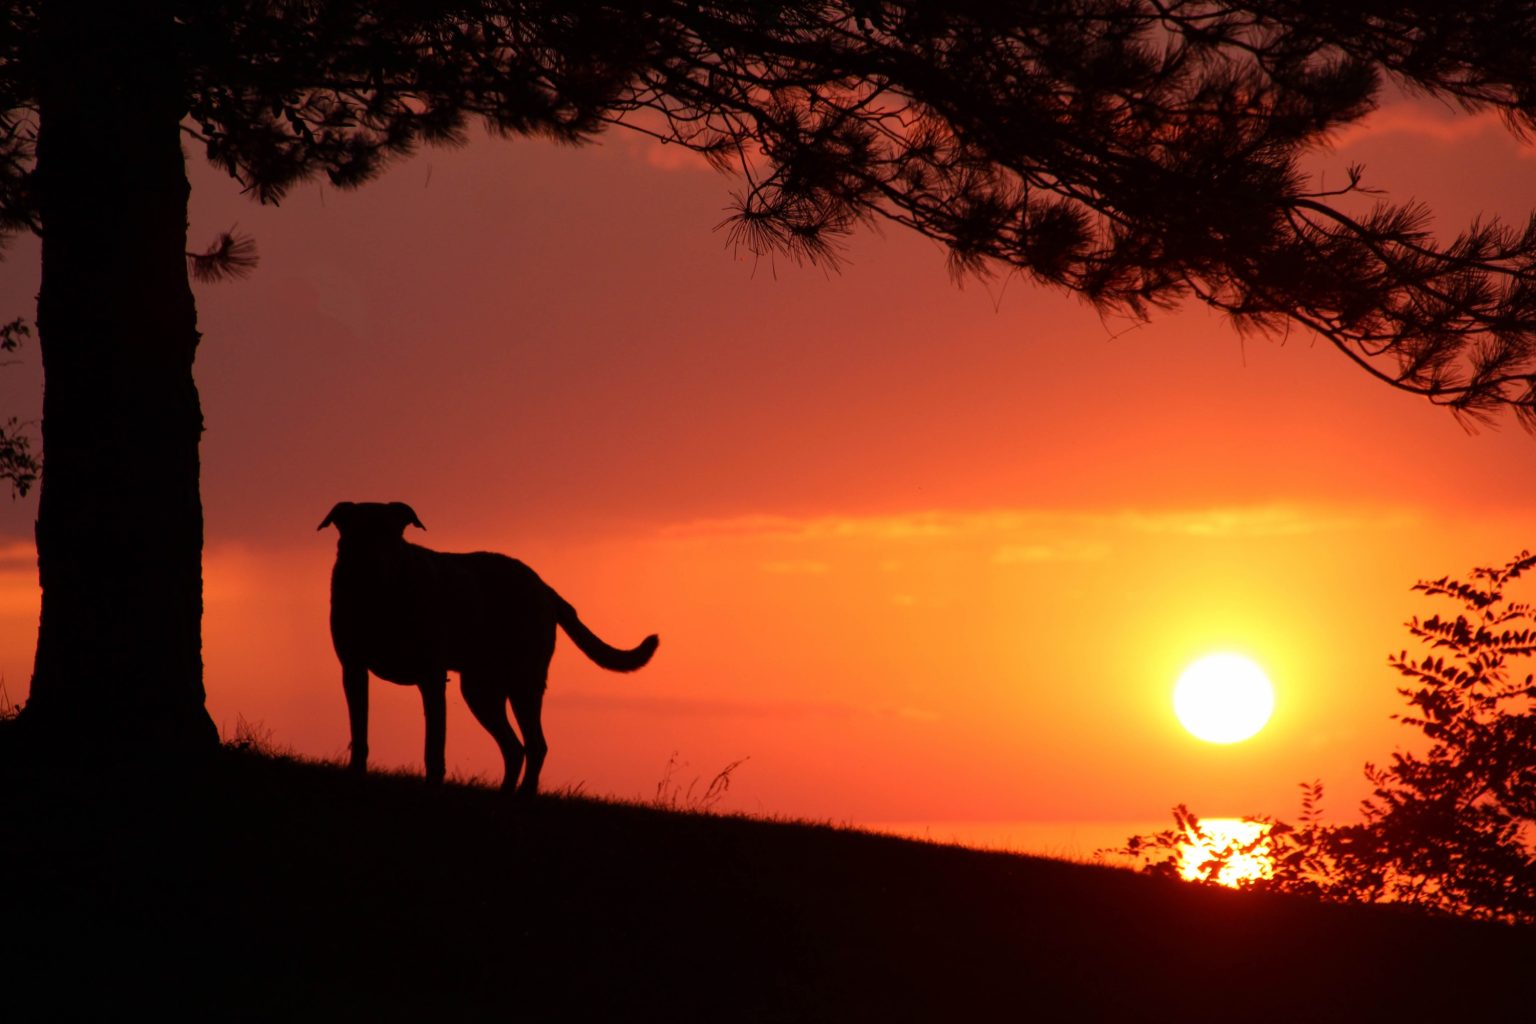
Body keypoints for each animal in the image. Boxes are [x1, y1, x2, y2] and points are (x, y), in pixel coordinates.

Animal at [321, 500, 657, 798]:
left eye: (390, 535)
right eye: (356, 533)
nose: (374, 565)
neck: (381, 598)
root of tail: (544, 587)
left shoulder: (431, 678)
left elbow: (434, 743)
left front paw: (432, 788)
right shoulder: (353, 669)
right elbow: (360, 732)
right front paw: (357, 776)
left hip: (523, 683)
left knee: (536, 745)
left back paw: (525, 795)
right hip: (482, 689)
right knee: (515, 747)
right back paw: (505, 793)